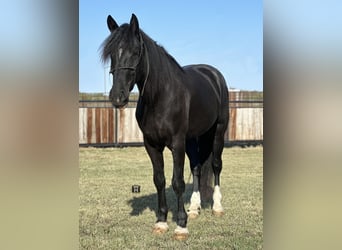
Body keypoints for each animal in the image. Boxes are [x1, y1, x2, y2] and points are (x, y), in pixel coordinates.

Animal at [101, 14, 230, 240]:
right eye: (111, 54)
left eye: (136, 52)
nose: (117, 97)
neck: (160, 96)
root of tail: (213, 74)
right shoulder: (152, 145)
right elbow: (159, 180)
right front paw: (161, 221)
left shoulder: (177, 144)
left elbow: (177, 182)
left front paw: (181, 225)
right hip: (193, 138)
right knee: (197, 167)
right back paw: (194, 208)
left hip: (217, 133)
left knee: (215, 165)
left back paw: (217, 207)